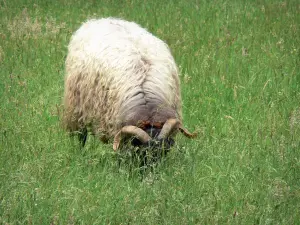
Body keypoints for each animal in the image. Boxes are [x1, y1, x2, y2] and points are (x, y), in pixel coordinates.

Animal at [62, 17, 197, 151]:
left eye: (164, 150)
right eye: (143, 151)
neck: (148, 109)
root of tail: (100, 19)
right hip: (77, 110)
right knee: (81, 136)